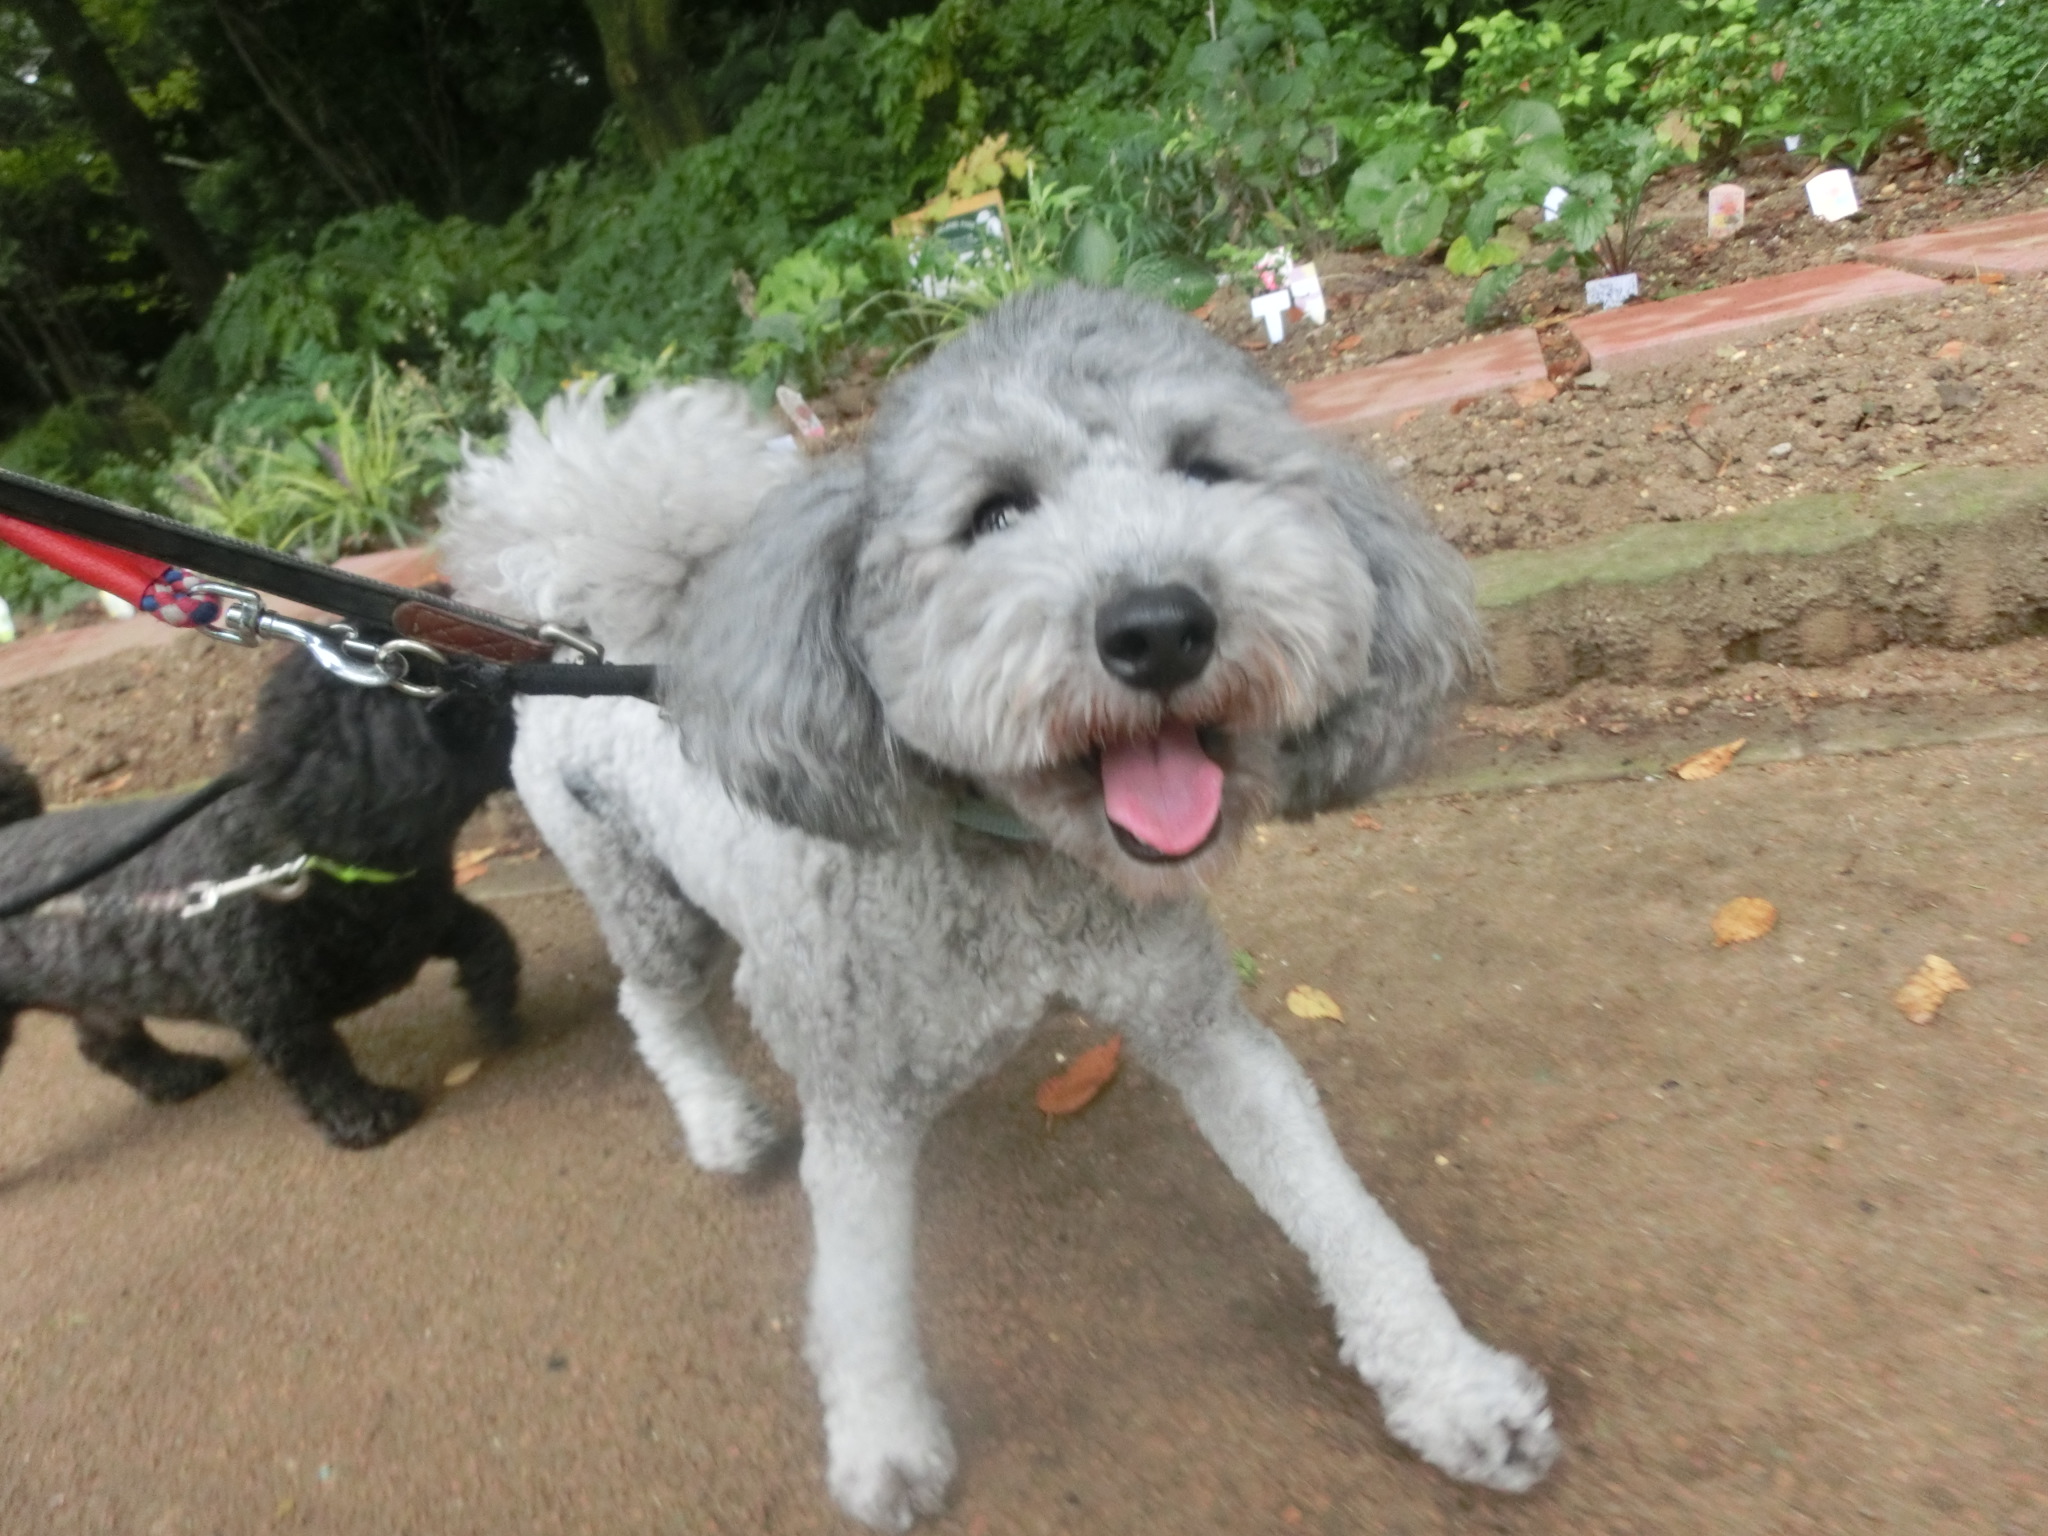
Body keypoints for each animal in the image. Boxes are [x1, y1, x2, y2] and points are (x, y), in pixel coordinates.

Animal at [0, 646, 520, 1148]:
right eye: (457, 689)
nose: (509, 678)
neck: (312, 851)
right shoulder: (271, 1007)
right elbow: (318, 1065)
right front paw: (365, 1115)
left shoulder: (421, 923)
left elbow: (492, 938)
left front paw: (495, 1011)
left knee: (108, 1041)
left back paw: (176, 1075)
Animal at [442, 285, 1558, 1528]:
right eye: (993, 512)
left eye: (1206, 468)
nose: (1159, 625)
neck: (1018, 863)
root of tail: (576, 623)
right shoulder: (858, 1107)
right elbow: (861, 1293)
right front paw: (883, 1448)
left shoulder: (1199, 1025)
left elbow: (1338, 1207)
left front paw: (1458, 1393)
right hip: (637, 891)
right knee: (655, 1005)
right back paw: (721, 1123)